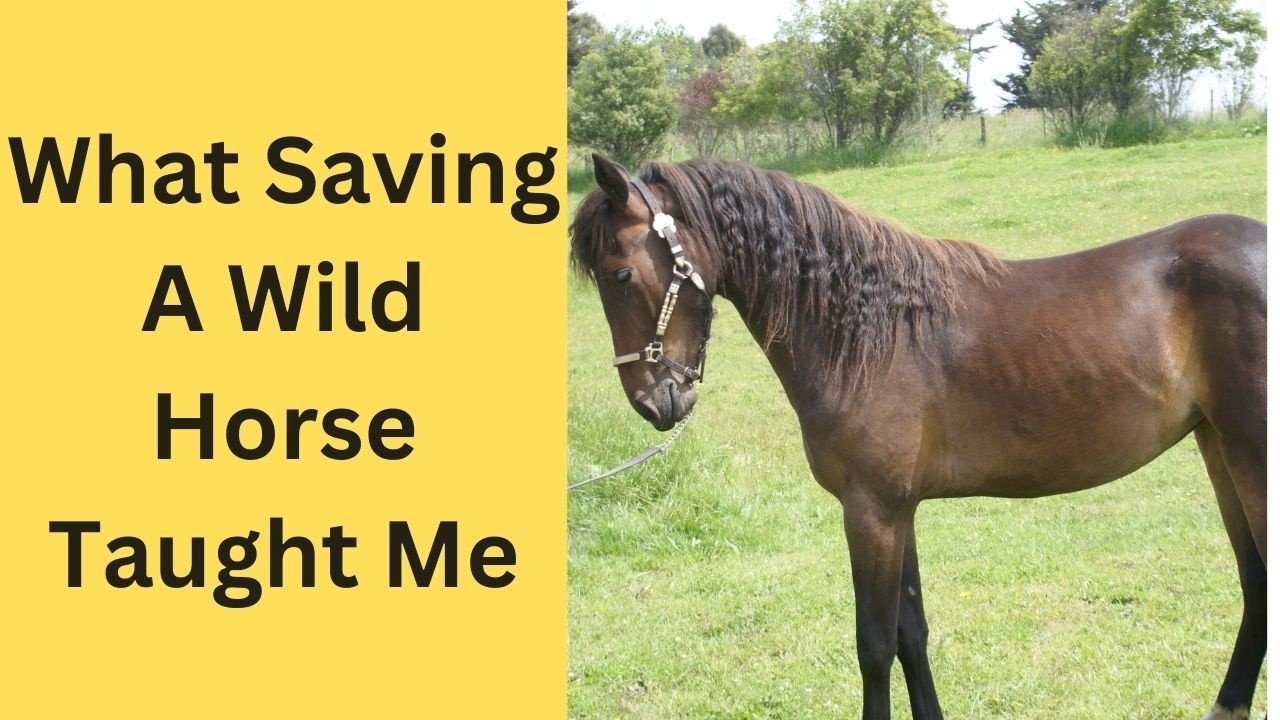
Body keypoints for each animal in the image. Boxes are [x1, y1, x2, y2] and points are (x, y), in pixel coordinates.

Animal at [570, 153, 1266, 720]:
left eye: (620, 275)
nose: (654, 402)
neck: (869, 329)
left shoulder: (871, 510)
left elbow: (875, 644)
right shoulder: (897, 508)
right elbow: (912, 632)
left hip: (1248, 454)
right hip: (1218, 448)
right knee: (1256, 581)